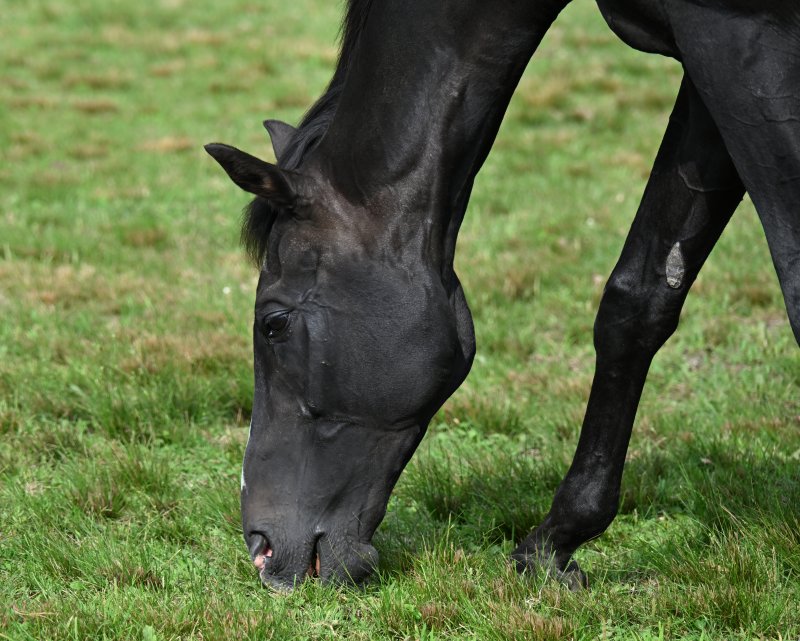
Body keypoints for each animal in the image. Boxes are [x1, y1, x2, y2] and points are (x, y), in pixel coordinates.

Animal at [205, 0, 800, 590]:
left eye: (273, 323)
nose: (260, 547)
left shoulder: (737, 39)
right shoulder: (706, 79)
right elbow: (638, 300)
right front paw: (554, 543)